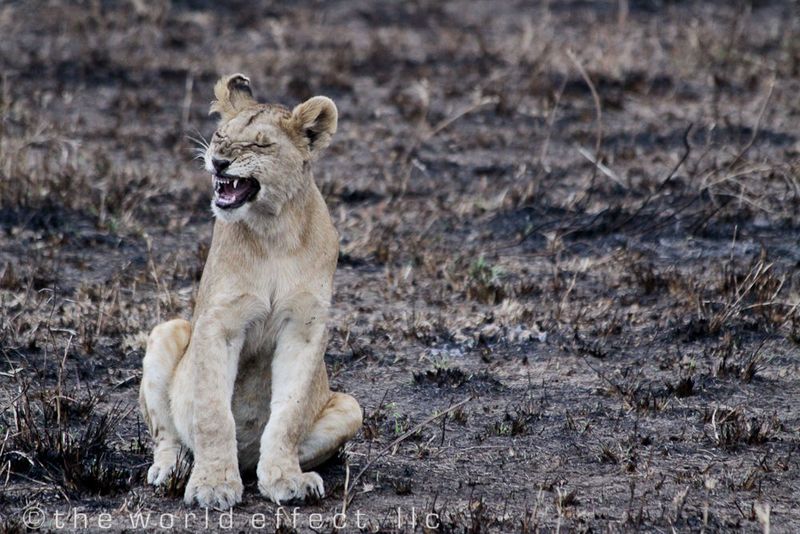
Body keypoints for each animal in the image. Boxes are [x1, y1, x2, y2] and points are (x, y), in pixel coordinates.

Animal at [138, 74, 362, 509]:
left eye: (260, 145)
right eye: (220, 136)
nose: (218, 161)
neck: (274, 231)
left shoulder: (304, 327)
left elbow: (288, 415)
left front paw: (284, 480)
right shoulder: (220, 322)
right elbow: (212, 412)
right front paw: (212, 485)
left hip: (351, 405)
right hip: (169, 330)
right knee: (168, 436)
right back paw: (170, 470)